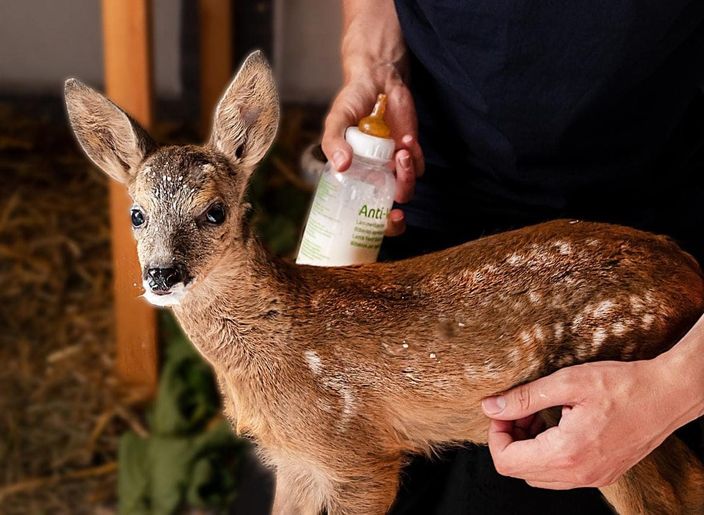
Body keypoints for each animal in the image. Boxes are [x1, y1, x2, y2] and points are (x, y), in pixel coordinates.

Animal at [63, 50, 700, 512]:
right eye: (136, 214)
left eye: (214, 212)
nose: (162, 273)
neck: (276, 344)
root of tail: (689, 272)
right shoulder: (295, 463)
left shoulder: (358, 453)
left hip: (615, 413)